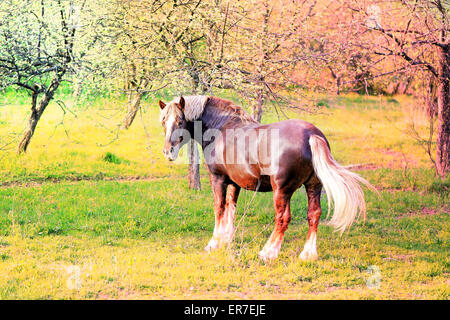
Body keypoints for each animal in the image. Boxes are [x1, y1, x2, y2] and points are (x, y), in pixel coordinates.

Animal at [158, 95, 372, 262]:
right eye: (163, 122)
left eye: (180, 122)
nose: (168, 152)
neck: (222, 128)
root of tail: (312, 135)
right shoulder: (235, 183)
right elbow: (231, 208)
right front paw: (227, 239)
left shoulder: (218, 178)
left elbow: (219, 208)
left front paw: (214, 243)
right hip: (313, 186)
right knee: (314, 215)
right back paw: (308, 254)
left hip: (282, 191)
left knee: (283, 218)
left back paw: (269, 252)